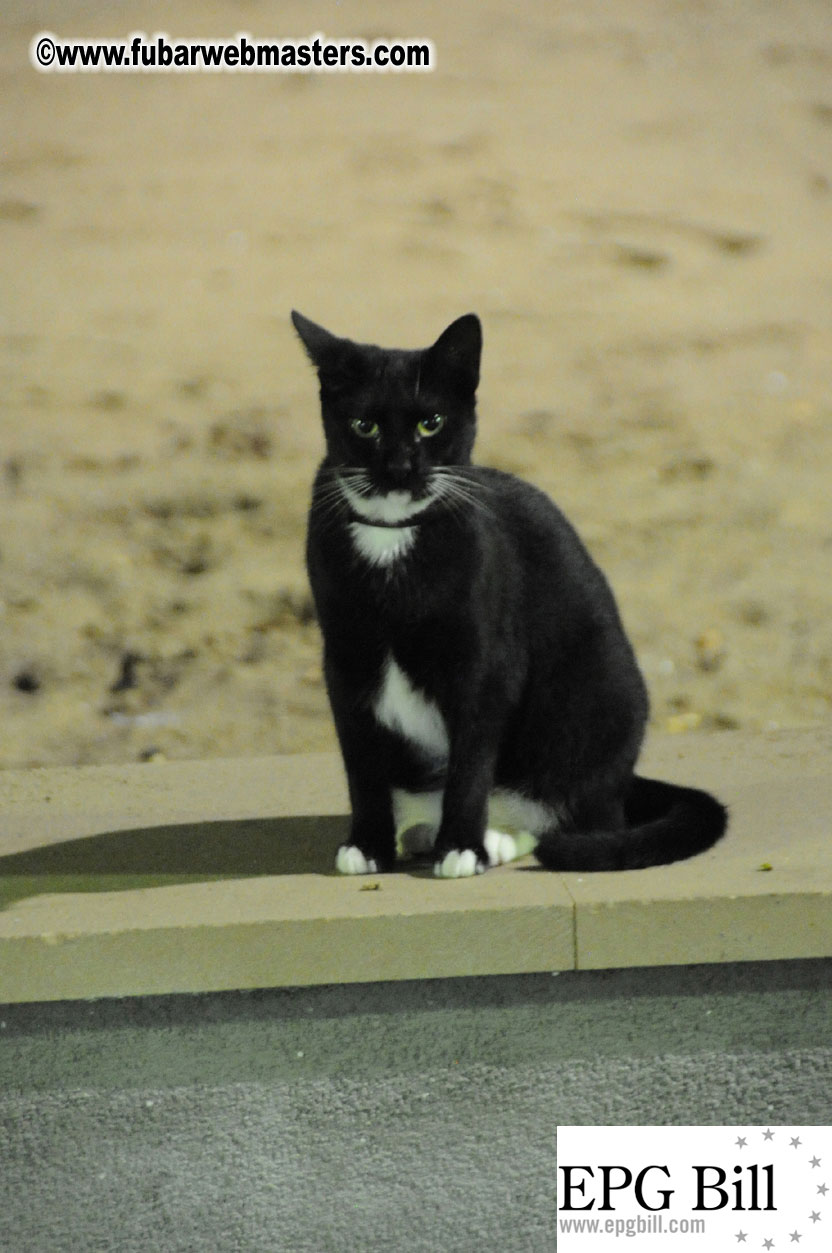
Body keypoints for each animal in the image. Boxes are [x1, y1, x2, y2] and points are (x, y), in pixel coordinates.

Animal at [291, 311, 726, 877]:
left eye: (430, 423)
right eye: (365, 426)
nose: (400, 467)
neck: (391, 545)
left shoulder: (484, 663)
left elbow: (471, 765)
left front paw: (462, 847)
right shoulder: (345, 661)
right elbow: (361, 764)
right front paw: (368, 844)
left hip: (596, 704)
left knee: (581, 816)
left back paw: (496, 839)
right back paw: (421, 831)